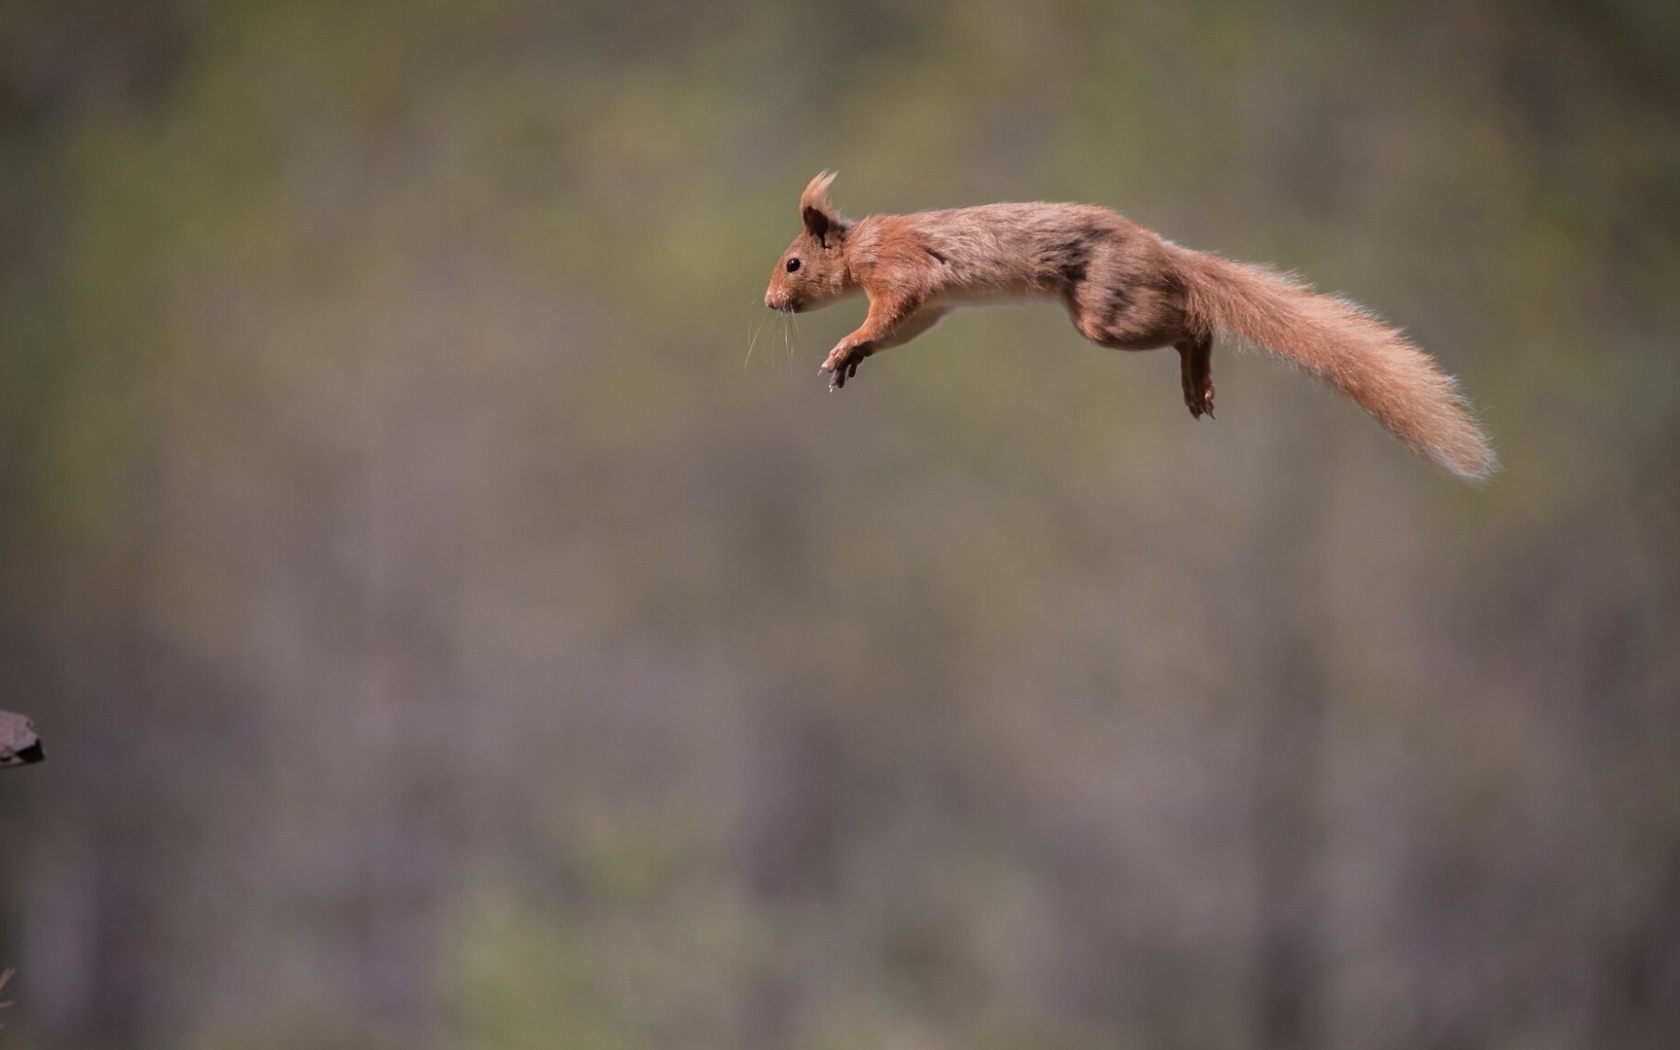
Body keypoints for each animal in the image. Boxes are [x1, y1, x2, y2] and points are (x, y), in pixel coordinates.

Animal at [766, 173, 1498, 483]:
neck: (860, 247)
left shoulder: (901, 271)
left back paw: (1198, 377)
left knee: (1195, 319)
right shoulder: (930, 307)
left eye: (793, 263)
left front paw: (846, 344)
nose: (771, 302)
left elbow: (888, 310)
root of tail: (1162, 251)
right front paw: (853, 359)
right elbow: (902, 329)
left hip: (1106, 311)